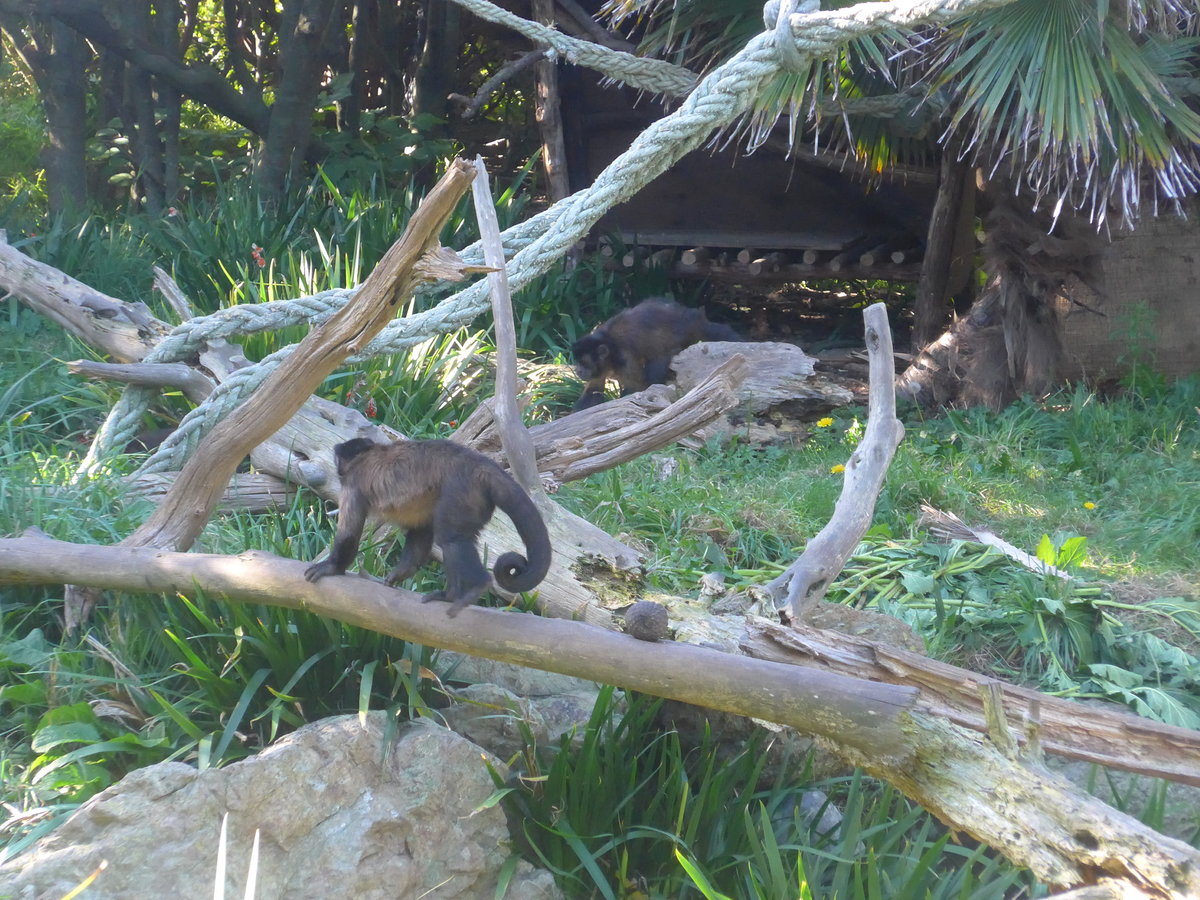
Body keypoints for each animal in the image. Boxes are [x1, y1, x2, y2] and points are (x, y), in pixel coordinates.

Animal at [304, 437, 551, 617]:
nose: (337, 465)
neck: (366, 455)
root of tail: (481, 465)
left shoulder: (352, 482)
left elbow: (349, 533)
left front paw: (332, 567)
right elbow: (420, 531)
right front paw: (401, 573)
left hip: (461, 490)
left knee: (450, 539)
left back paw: (472, 588)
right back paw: (452, 594)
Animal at [571, 297, 741, 411]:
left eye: (583, 363)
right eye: (577, 362)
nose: (578, 370)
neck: (609, 344)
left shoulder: (624, 358)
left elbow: (636, 388)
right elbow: (593, 391)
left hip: (690, 331)